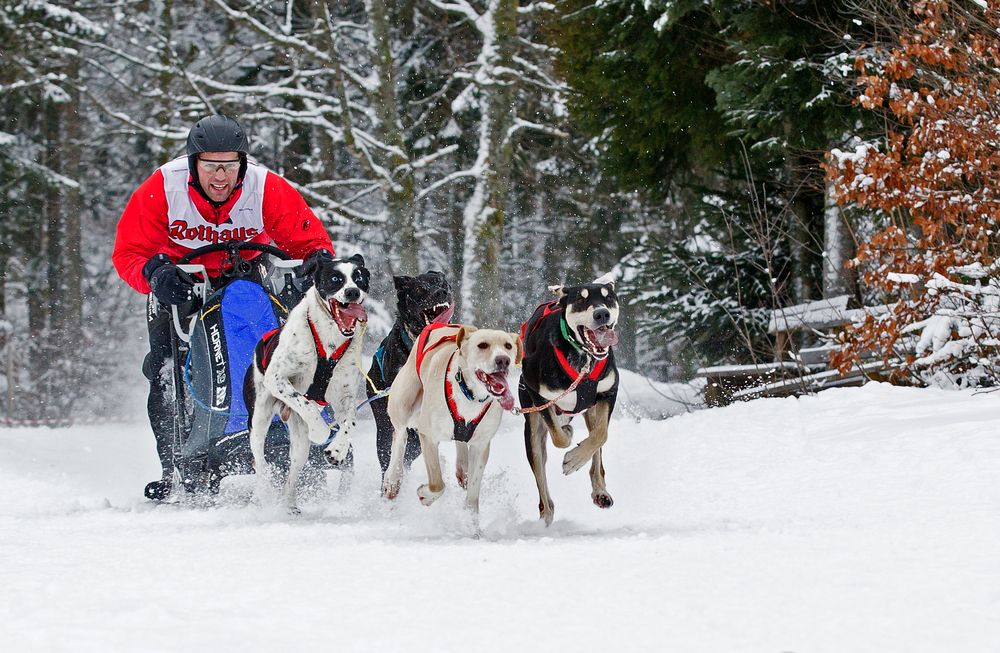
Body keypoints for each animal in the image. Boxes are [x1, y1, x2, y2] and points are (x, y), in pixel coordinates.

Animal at [246, 253, 372, 510]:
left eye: (359, 278)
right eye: (335, 279)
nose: (352, 292)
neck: (329, 339)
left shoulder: (345, 397)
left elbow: (350, 422)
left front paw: (337, 449)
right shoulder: (277, 378)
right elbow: (306, 405)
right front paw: (321, 432)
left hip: (299, 446)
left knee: (292, 474)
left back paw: (289, 504)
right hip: (260, 416)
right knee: (259, 460)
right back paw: (264, 491)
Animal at [380, 322, 524, 516]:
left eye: (508, 346)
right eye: (483, 345)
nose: (503, 360)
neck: (470, 395)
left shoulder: (481, 446)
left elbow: (472, 497)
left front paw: (471, 521)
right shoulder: (428, 436)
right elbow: (437, 484)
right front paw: (425, 495)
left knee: (460, 441)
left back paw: (463, 468)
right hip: (403, 403)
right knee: (400, 435)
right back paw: (393, 479)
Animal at [520, 280, 620, 524]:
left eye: (608, 297)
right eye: (581, 299)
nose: (602, 314)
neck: (584, 359)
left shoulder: (608, 393)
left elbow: (601, 435)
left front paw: (575, 459)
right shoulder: (539, 396)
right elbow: (559, 439)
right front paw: (567, 437)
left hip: (591, 411)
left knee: (596, 449)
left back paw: (600, 491)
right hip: (532, 429)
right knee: (541, 480)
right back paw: (546, 514)